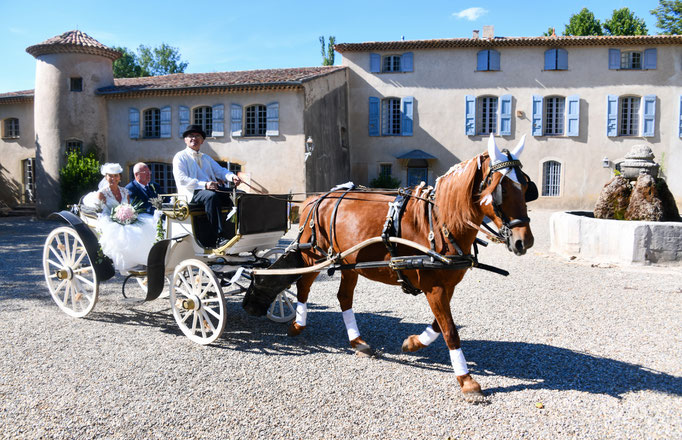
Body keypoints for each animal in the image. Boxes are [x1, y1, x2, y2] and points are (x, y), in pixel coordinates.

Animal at [242, 134, 532, 402]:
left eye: (526, 185)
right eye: (501, 189)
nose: (524, 241)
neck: (438, 223)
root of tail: (314, 199)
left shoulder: (446, 284)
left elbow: (440, 324)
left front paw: (414, 343)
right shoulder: (435, 287)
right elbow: (450, 330)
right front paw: (466, 380)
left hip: (348, 263)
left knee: (343, 297)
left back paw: (357, 341)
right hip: (313, 255)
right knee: (303, 285)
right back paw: (298, 325)